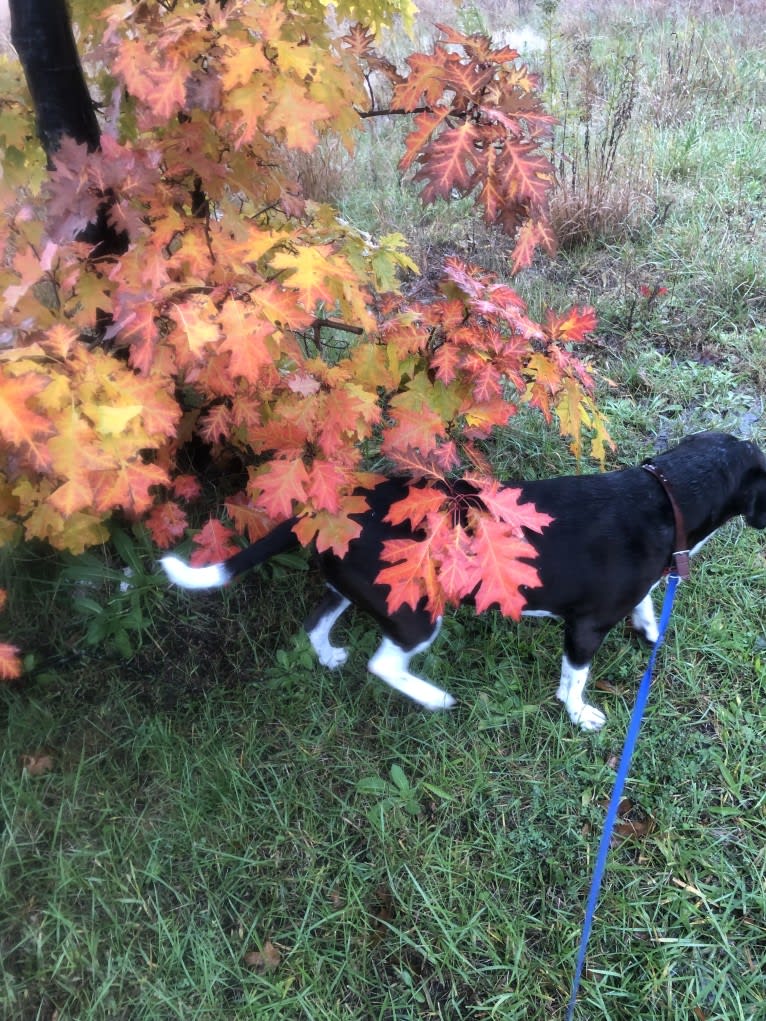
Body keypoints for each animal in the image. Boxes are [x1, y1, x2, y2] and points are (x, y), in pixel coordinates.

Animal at [159, 434, 763, 731]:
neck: (665, 495)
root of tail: (325, 509)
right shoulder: (584, 629)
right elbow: (574, 681)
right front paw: (579, 715)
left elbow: (645, 607)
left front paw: (652, 632)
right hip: (416, 611)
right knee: (384, 664)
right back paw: (434, 698)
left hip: (355, 588)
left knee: (317, 622)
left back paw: (330, 656)